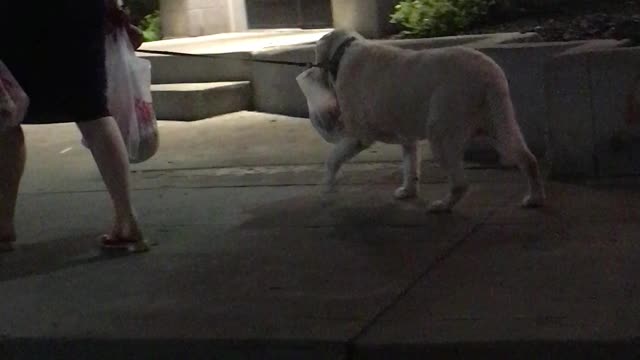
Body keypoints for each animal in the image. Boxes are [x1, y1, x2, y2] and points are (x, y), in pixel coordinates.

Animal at [298, 29, 544, 212]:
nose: (310, 69)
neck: (344, 50)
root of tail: (487, 76)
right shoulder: (406, 135)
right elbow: (410, 164)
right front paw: (408, 191)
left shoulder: (359, 136)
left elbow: (332, 160)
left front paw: (326, 191)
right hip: (499, 120)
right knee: (527, 158)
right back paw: (534, 198)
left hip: (442, 129)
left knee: (460, 183)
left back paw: (443, 206)